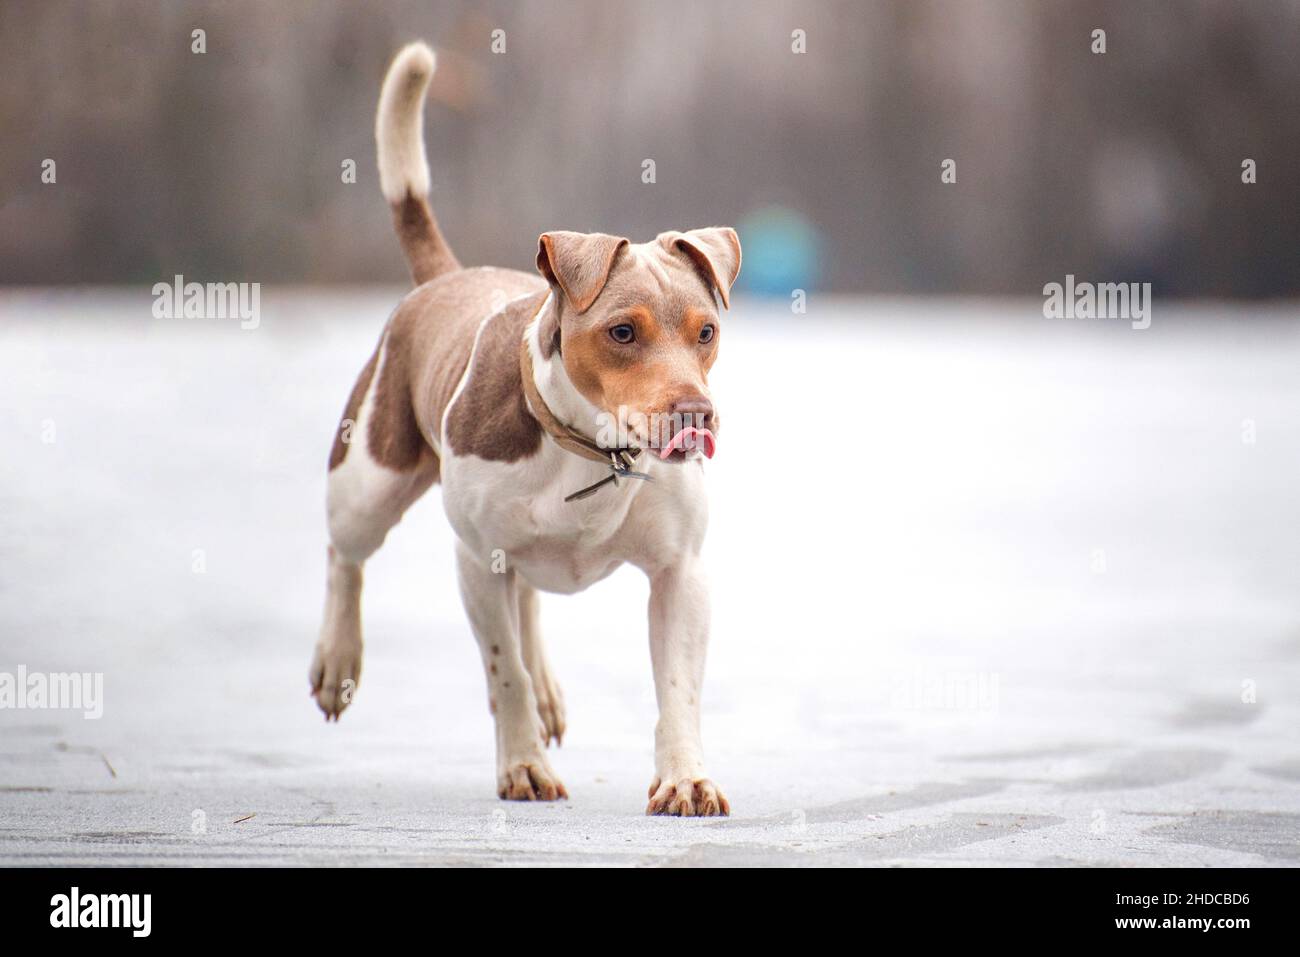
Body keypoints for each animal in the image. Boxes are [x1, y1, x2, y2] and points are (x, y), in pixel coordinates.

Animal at [306, 42, 743, 816]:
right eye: (622, 331)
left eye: (706, 331)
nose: (695, 413)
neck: (592, 449)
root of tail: (447, 277)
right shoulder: (478, 560)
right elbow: (500, 664)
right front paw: (524, 767)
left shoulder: (681, 573)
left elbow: (677, 687)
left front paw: (685, 777)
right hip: (370, 476)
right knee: (346, 554)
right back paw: (337, 660)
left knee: (531, 600)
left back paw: (547, 693)